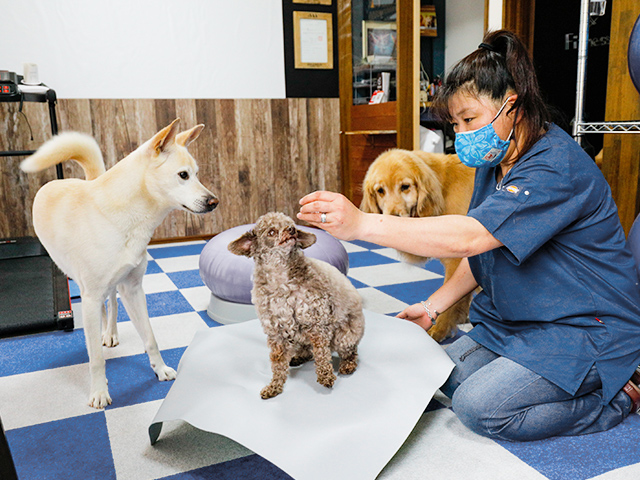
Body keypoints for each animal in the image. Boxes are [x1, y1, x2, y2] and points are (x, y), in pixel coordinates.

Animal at [21, 118, 219, 406]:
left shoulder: (133, 289)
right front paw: (99, 392)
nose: (214, 202)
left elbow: (150, 337)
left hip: (115, 285)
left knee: (112, 303)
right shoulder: (90, 296)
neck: (125, 216)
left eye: (196, 174)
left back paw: (110, 332)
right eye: (183, 175)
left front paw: (160, 370)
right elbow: (95, 357)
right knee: (102, 307)